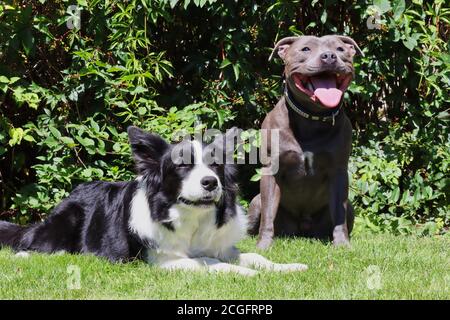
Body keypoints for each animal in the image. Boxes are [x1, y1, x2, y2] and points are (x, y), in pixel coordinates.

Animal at [0, 127, 306, 276]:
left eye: (216, 165)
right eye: (182, 166)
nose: (210, 182)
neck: (191, 217)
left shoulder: (220, 245)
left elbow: (254, 256)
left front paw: (287, 267)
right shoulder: (162, 259)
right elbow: (208, 262)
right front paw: (245, 273)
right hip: (63, 222)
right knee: (31, 244)